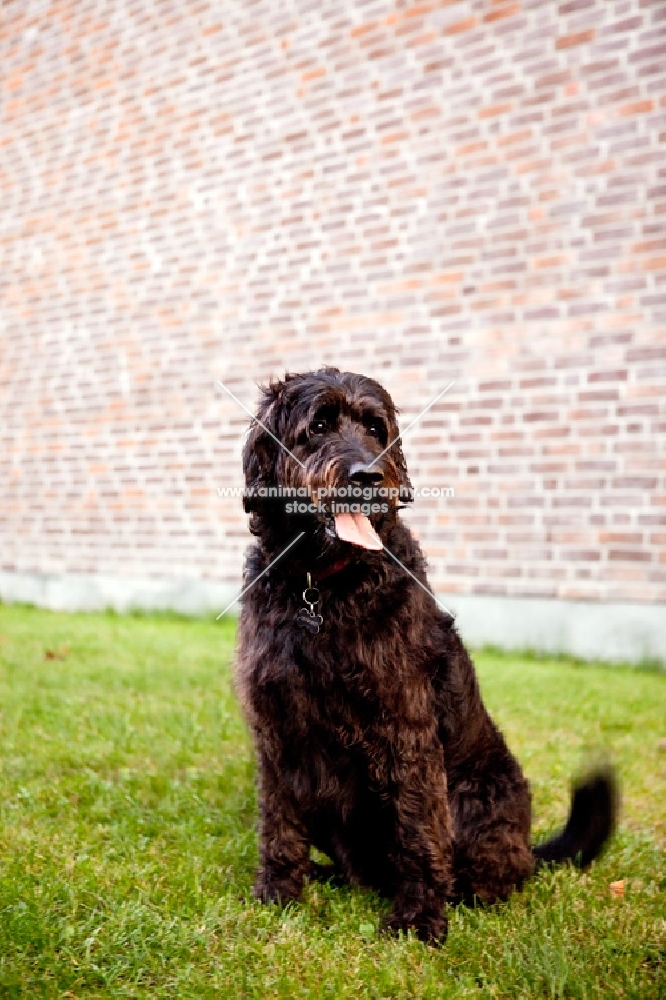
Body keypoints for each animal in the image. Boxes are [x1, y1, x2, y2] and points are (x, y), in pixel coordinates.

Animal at [236, 370, 616, 944]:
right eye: (318, 425)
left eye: (376, 428)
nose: (368, 476)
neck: (321, 590)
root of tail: (528, 850)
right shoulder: (277, 731)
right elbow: (277, 824)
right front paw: (278, 893)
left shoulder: (405, 730)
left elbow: (418, 830)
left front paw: (419, 918)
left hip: (475, 800)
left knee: (487, 878)